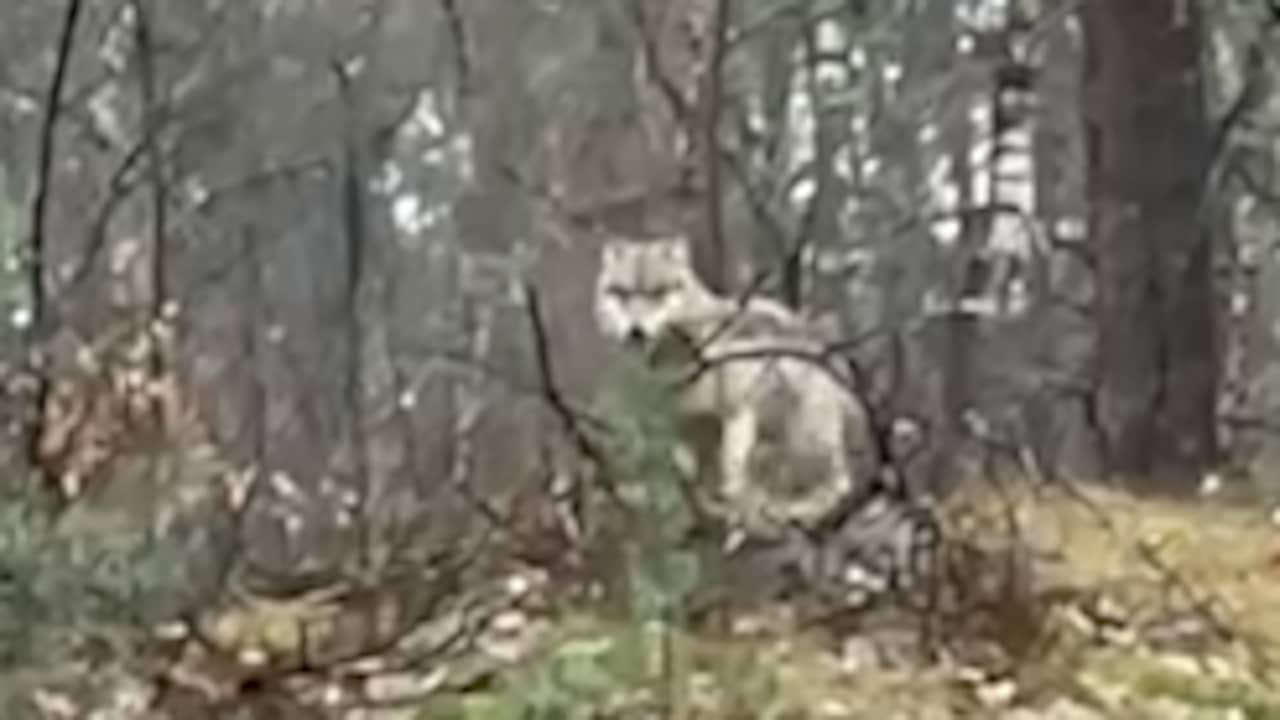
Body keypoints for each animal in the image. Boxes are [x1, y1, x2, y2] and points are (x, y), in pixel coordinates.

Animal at [591, 235, 875, 532]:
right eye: (621, 293)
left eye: (658, 292)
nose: (636, 331)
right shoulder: (686, 428)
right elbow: (694, 480)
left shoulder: (736, 412)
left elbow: (733, 478)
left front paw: (736, 513)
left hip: (801, 421)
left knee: (838, 485)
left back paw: (793, 512)